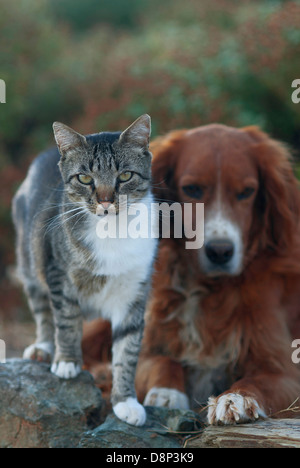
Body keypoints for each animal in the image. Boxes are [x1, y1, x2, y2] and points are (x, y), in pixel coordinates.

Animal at [12, 113, 157, 424]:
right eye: (85, 178)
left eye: (125, 176)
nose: (105, 201)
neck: (112, 232)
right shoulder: (58, 272)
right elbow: (66, 318)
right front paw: (67, 361)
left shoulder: (134, 290)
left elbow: (127, 349)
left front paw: (126, 401)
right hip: (29, 261)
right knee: (42, 310)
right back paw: (44, 347)